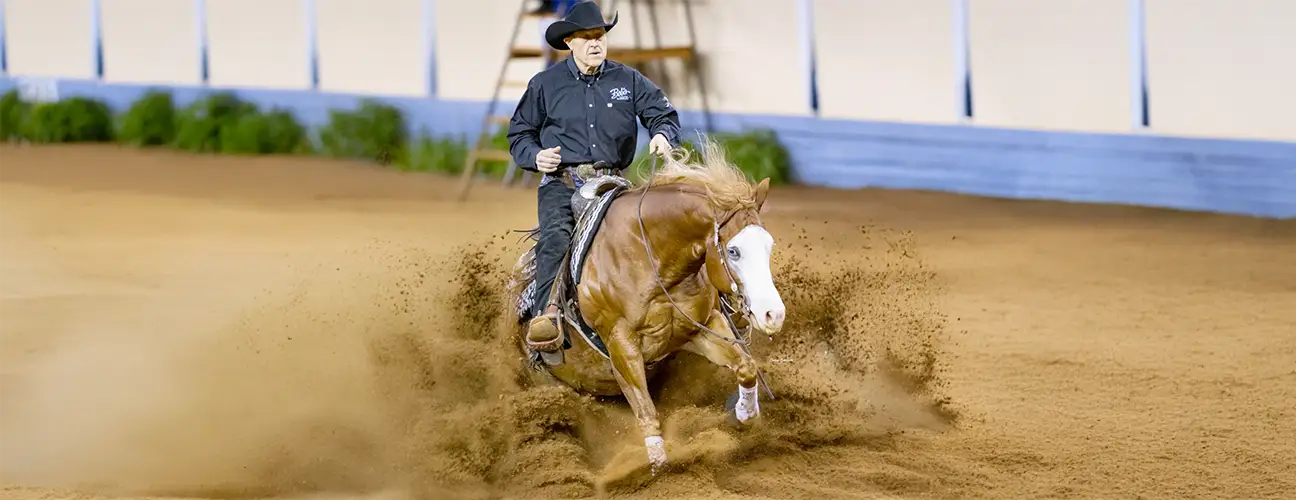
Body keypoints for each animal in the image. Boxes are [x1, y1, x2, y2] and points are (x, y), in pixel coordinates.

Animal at [506, 136, 786, 475]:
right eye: (733, 251)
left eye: (769, 246)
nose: (774, 314)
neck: (648, 255)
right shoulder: (621, 344)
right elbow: (647, 412)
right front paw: (657, 468)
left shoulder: (703, 326)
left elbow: (745, 365)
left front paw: (745, 412)